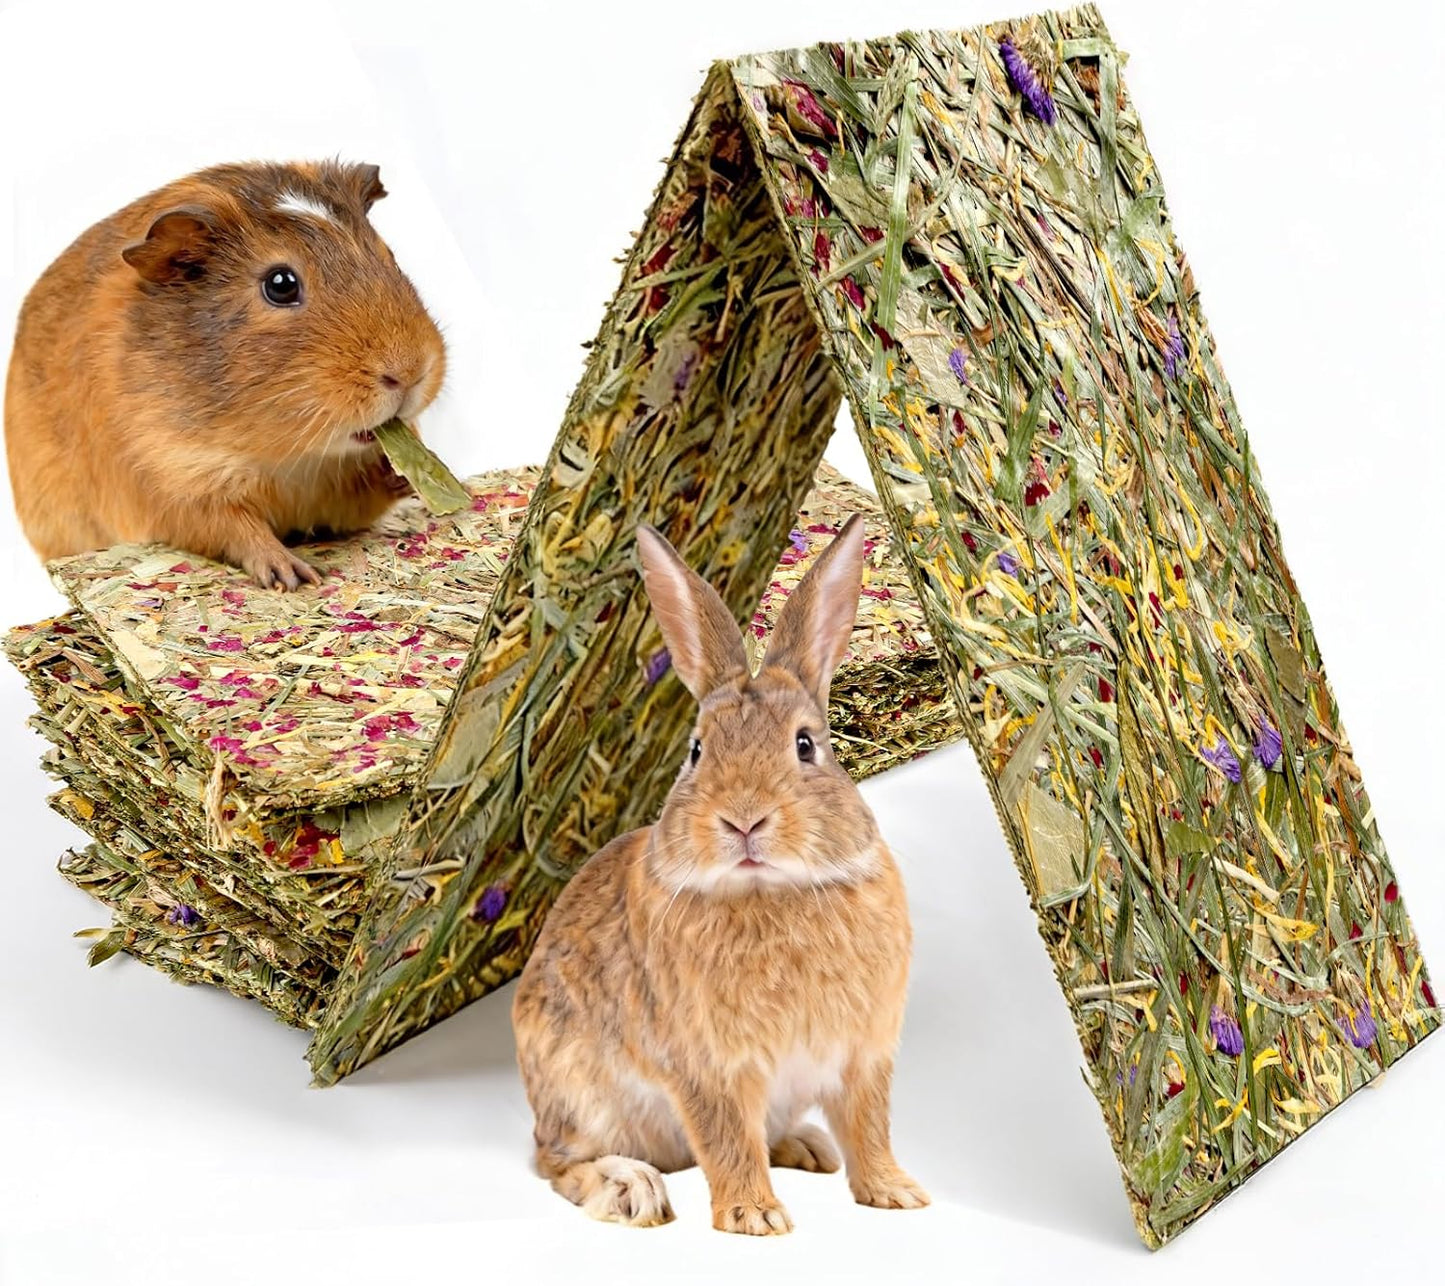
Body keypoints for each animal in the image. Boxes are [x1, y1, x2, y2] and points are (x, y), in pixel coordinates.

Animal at [4, 160, 445, 590]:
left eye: (388, 255)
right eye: (280, 284)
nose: (410, 373)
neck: (290, 460)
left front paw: (410, 472)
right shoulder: (173, 484)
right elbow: (235, 528)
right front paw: (291, 576)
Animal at [512, 515, 928, 1235]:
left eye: (805, 745)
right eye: (695, 751)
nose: (743, 820)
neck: (773, 891)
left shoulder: (863, 1057)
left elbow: (869, 1128)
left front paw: (896, 1193)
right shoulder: (708, 1067)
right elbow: (726, 1137)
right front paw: (755, 1218)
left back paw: (805, 1148)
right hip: (581, 1097)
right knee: (559, 1164)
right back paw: (631, 1189)